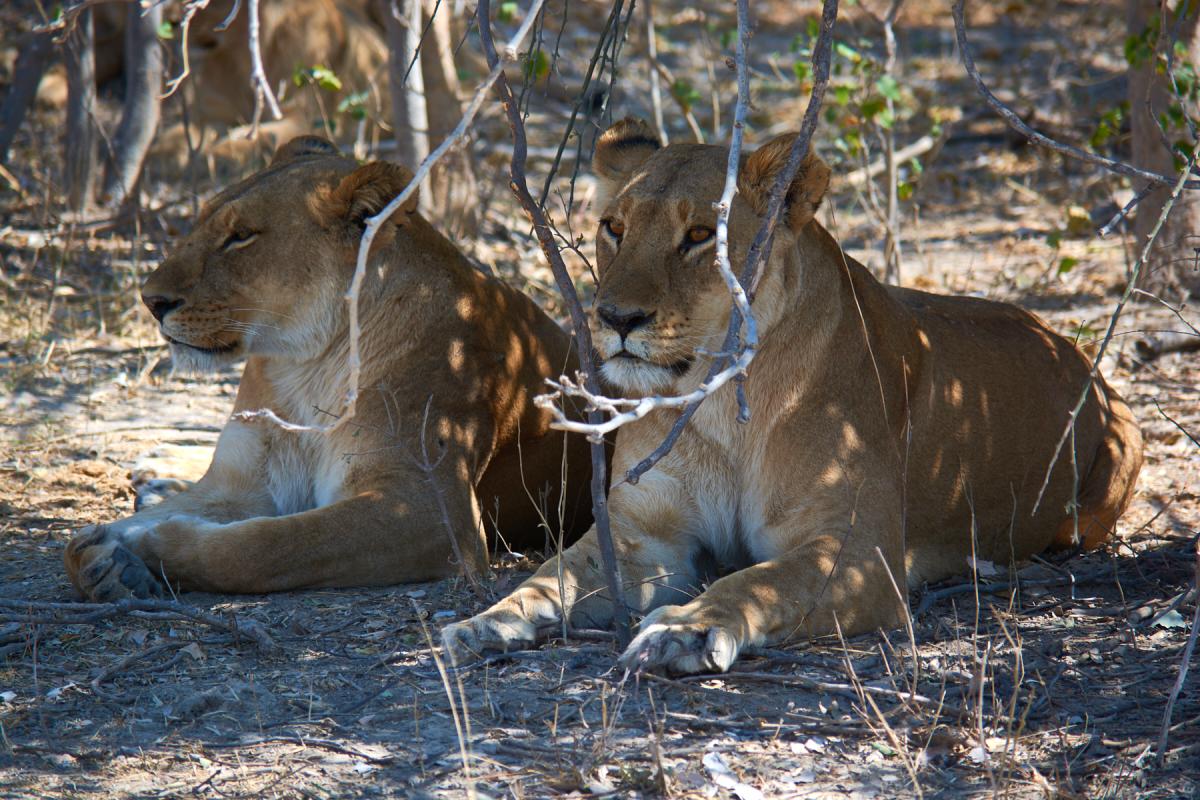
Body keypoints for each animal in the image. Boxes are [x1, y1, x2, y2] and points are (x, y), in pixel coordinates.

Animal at [63, 135, 591, 601]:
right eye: (202, 222)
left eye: (241, 237)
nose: (150, 301)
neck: (304, 368)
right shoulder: (241, 482)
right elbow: (89, 539)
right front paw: (102, 557)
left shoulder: (433, 509)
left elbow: (268, 546)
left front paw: (147, 550)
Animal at [441, 119, 1144, 674]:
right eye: (613, 227)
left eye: (700, 235)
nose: (616, 318)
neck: (719, 396)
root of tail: (1074, 349)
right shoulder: (643, 535)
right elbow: (553, 573)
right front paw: (486, 620)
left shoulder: (856, 554)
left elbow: (759, 581)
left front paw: (682, 631)